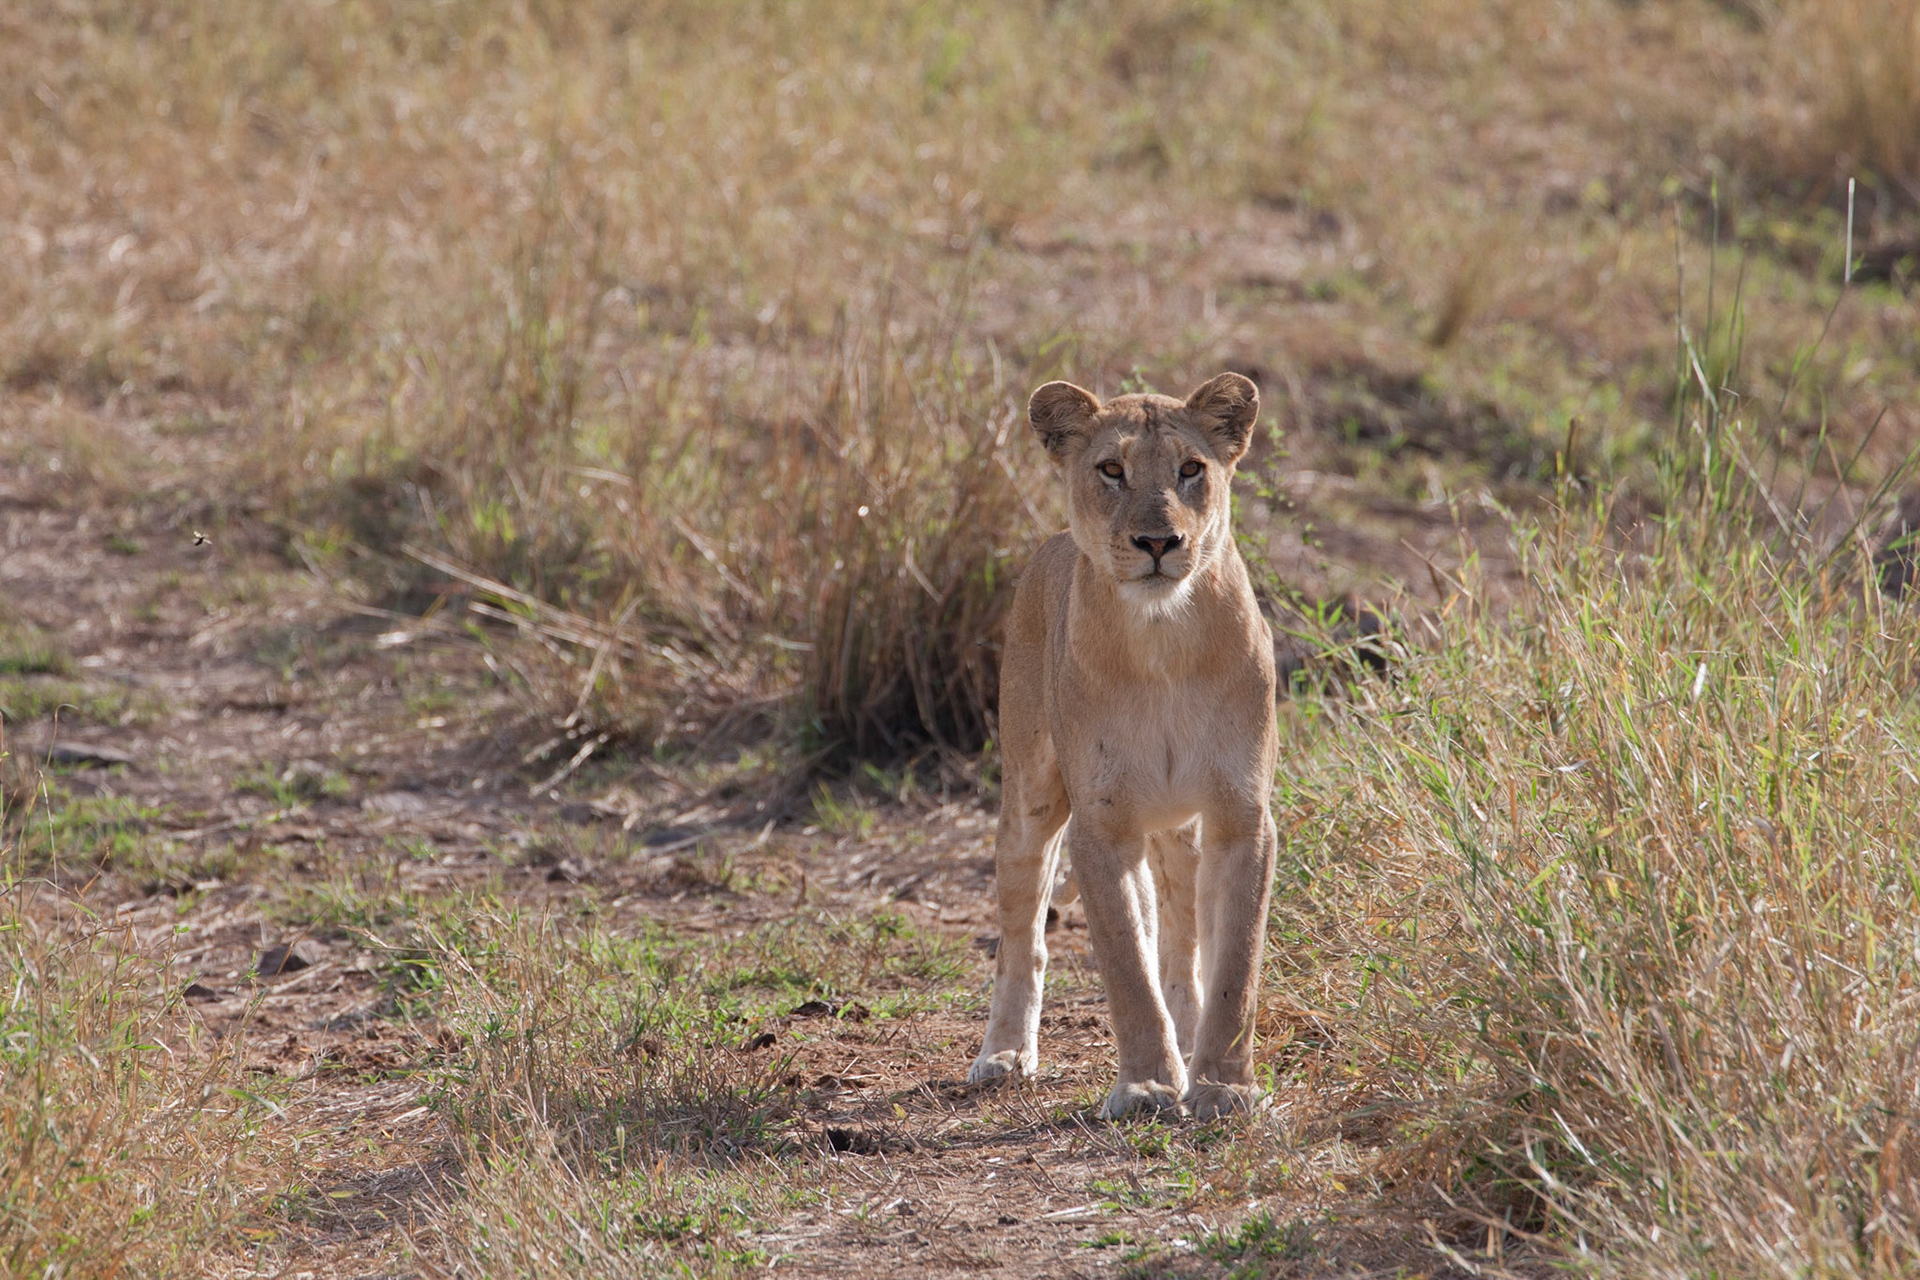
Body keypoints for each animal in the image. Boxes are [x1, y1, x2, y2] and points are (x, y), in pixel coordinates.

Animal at [968, 372, 1279, 1120]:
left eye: (1191, 470)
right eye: (1112, 470)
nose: (1157, 541)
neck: (1163, 638)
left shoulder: (1241, 816)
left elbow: (1235, 964)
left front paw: (1223, 1086)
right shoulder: (1103, 825)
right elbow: (1125, 966)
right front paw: (1147, 1088)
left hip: (1178, 830)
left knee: (1181, 946)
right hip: (1030, 800)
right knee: (1023, 938)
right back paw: (1004, 1054)